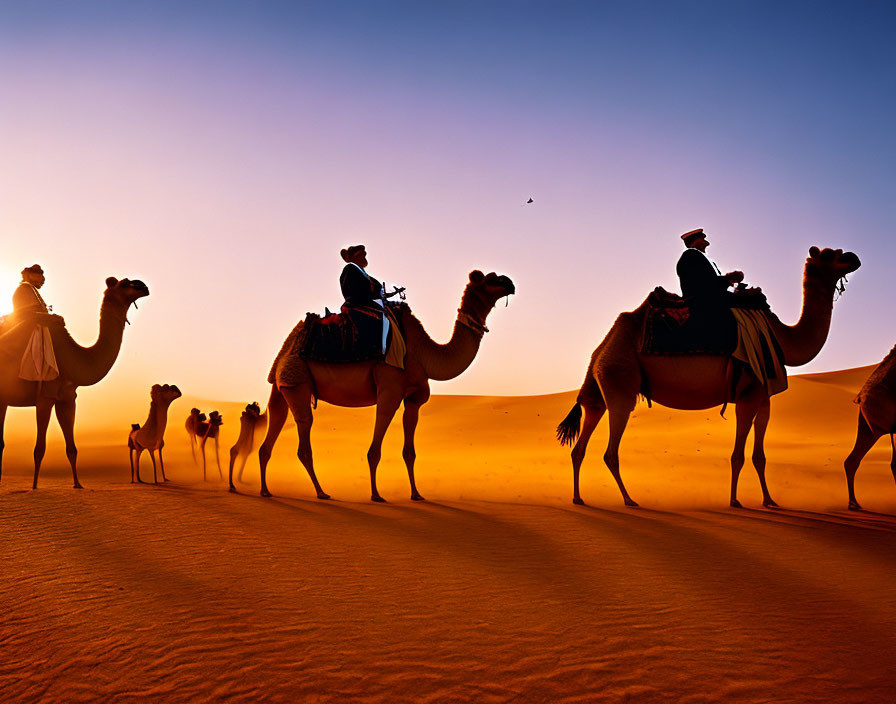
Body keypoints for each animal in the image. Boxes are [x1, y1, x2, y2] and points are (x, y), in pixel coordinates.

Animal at [0, 276, 150, 490]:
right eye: (124, 283)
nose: (143, 286)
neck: (74, 357)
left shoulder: (68, 398)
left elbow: (72, 448)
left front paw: (78, 484)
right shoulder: (46, 395)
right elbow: (39, 448)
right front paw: (35, 486)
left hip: (3, 399)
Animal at [260, 270, 516, 500]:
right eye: (491, 279)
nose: (510, 283)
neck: (424, 353)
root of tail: (287, 348)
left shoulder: (414, 399)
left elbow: (409, 452)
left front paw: (416, 494)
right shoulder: (389, 388)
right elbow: (375, 450)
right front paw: (376, 494)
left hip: (281, 386)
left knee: (273, 426)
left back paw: (265, 490)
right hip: (298, 380)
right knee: (304, 434)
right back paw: (321, 492)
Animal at [560, 246, 860, 506]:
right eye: (831, 255)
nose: (854, 257)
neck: (782, 338)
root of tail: (601, 349)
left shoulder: (764, 396)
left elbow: (759, 456)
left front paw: (769, 500)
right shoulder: (748, 394)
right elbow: (738, 456)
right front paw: (735, 501)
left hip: (600, 388)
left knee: (581, 441)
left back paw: (578, 497)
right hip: (621, 380)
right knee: (611, 451)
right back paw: (629, 499)